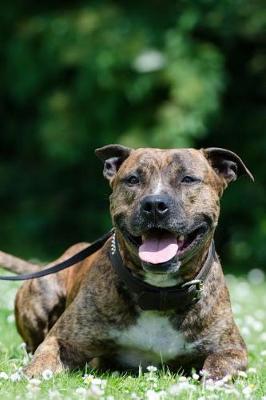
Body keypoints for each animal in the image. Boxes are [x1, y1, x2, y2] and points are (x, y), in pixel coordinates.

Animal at [0, 145, 254, 380]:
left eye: (188, 179)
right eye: (132, 179)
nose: (154, 204)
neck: (158, 294)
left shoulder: (231, 349)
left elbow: (217, 369)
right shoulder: (61, 340)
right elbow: (41, 363)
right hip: (42, 296)